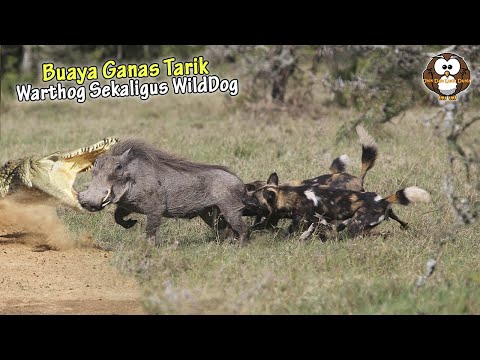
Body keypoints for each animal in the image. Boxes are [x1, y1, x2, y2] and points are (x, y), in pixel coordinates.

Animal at [242, 173, 430, 240]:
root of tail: (383, 200)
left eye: (252, 200)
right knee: (400, 225)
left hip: (356, 227)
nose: (242, 201)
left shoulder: (309, 221)